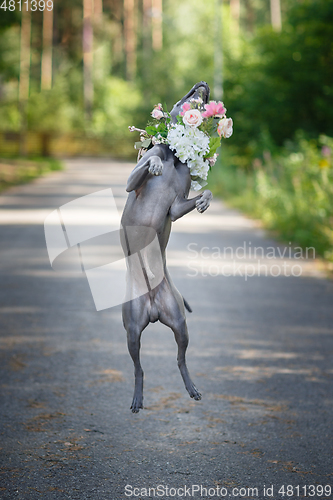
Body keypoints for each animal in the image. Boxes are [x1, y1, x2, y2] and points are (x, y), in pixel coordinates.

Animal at [120, 82, 211, 412]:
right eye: (186, 94)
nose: (202, 84)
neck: (174, 156)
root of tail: (154, 309)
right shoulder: (132, 182)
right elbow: (148, 162)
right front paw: (156, 164)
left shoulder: (176, 206)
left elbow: (204, 192)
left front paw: (205, 200)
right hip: (132, 329)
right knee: (138, 369)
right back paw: (137, 397)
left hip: (180, 324)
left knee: (180, 360)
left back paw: (191, 388)